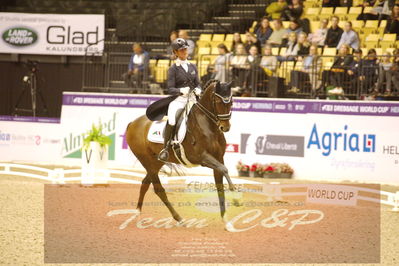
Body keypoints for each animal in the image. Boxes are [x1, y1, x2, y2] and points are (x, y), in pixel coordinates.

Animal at [126, 80, 236, 228]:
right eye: (218, 101)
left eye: (231, 102)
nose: (225, 127)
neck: (208, 126)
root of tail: (133, 123)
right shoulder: (201, 157)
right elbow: (224, 170)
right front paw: (235, 195)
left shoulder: (219, 158)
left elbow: (220, 184)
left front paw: (226, 220)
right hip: (147, 161)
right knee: (158, 189)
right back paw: (179, 218)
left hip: (155, 162)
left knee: (145, 183)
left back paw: (137, 212)